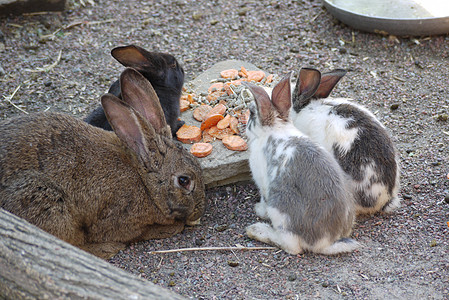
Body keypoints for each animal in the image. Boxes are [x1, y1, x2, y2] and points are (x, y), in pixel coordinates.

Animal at [0, 67, 206, 258]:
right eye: (184, 181)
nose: (198, 212)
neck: (145, 182)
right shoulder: (118, 220)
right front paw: (171, 228)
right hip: (45, 200)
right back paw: (108, 248)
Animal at [242, 74, 356, 254]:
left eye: (252, 113)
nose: (245, 125)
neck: (276, 127)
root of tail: (326, 242)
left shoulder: (262, 183)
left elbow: (262, 200)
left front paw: (258, 209)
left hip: (280, 208)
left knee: (292, 247)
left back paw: (257, 230)